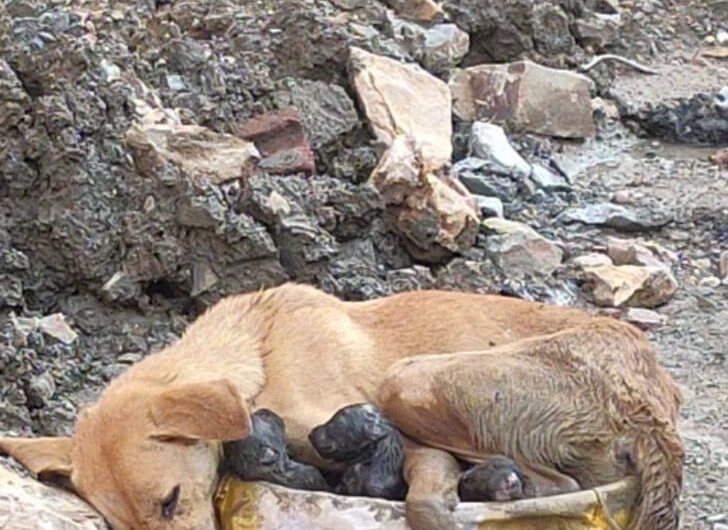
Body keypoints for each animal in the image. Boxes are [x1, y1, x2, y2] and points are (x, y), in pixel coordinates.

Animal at [0, 282, 684, 528]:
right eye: (123, 527)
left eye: (170, 502)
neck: (259, 355)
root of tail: (653, 395)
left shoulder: (417, 450)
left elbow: (424, 499)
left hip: (411, 380)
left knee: (552, 483)